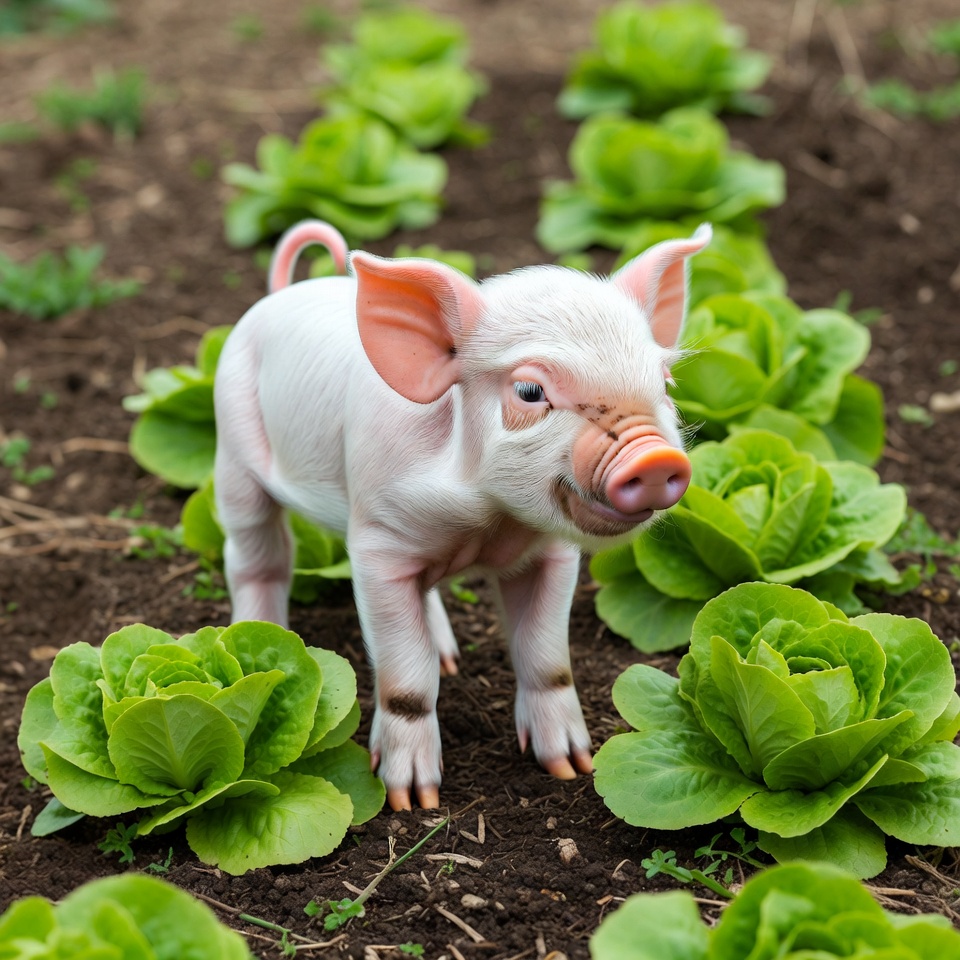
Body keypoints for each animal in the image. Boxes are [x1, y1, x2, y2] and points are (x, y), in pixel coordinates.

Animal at [214, 219, 711, 811]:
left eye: (665, 382)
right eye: (530, 390)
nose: (656, 459)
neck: (486, 522)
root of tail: (278, 295)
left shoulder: (552, 555)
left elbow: (547, 659)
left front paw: (571, 767)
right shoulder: (376, 544)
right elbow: (406, 679)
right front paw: (413, 799)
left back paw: (448, 656)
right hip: (232, 448)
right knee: (256, 553)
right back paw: (260, 638)